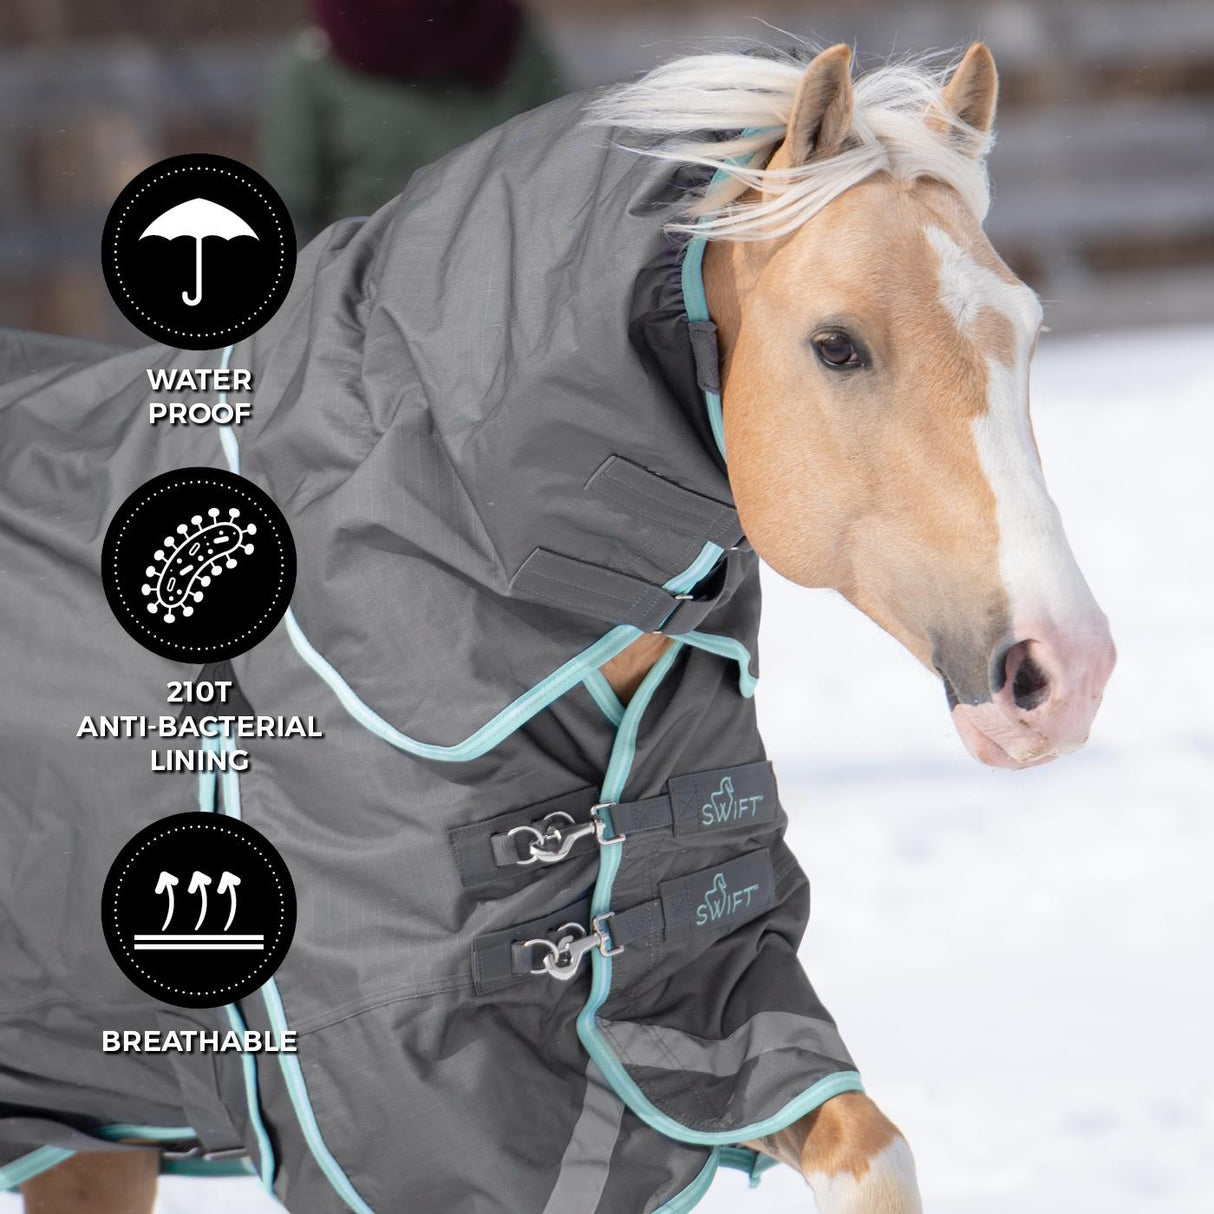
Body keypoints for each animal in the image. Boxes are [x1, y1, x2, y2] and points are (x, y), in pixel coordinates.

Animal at [14, 40, 1113, 1214]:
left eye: (1027, 333)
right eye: (836, 345)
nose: (1064, 669)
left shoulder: (691, 1010)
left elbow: (865, 1144)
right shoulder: (411, 1121)